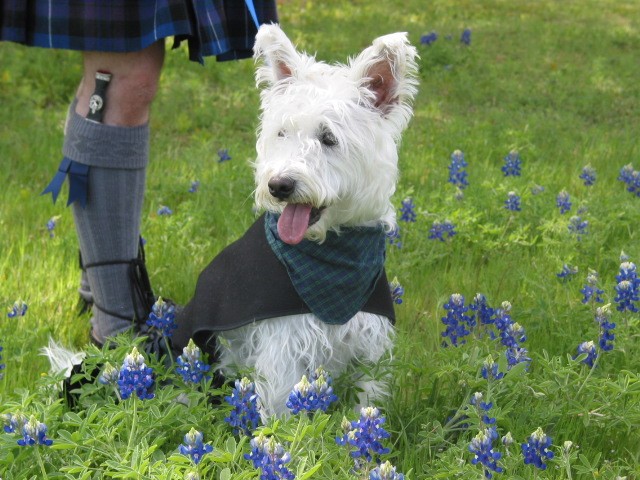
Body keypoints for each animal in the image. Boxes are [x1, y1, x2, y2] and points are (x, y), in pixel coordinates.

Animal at [172, 23, 418, 416]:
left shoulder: (368, 347)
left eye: (329, 137)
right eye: (282, 133)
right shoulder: (283, 346)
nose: (278, 185)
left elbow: (365, 404)